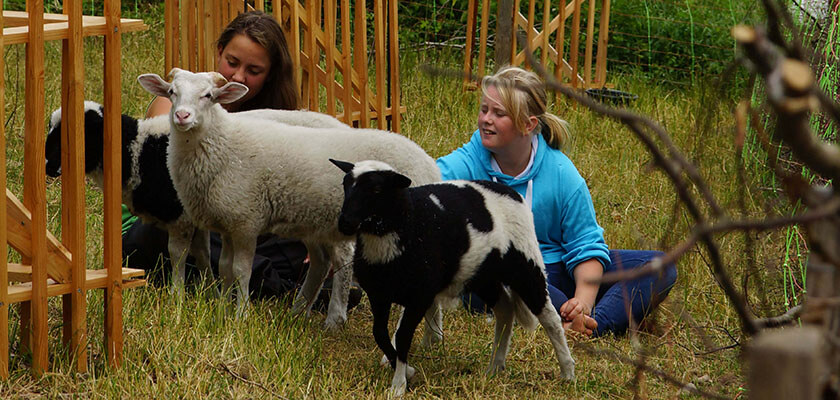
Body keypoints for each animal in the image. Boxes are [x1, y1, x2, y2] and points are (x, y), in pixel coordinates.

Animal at [43, 100, 352, 294]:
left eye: (79, 133)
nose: (47, 165)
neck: (140, 151)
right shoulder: (197, 215)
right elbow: (202, 253)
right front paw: (210, 291)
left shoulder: (180, 217)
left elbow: (177, 254)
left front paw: (177, 297)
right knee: (321, 261)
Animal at [135, 69, 442, 328]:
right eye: (172, 92)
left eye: (208, 95)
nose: (182, 116)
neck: (223, 142)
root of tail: (430, 165)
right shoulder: (228, 222)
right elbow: (223, 268)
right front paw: (222, 307)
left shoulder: (247, 220)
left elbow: (241, 269)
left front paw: (241, 314)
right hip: (318, 222)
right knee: (322, 263)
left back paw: (339, 320)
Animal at [332, 159, 576, 396]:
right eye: (345, 184)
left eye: (376, 189)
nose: (345, 222)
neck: (407, 224)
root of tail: (511, 192)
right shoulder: (379, 294)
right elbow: (380, 334)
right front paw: (408, 372)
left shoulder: (419, 297)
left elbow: (402, 337)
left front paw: (398, 386)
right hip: (482, 276)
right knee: (505, 310)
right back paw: (495, 367)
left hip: (525, 265)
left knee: (550, 318)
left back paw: (567, 371)